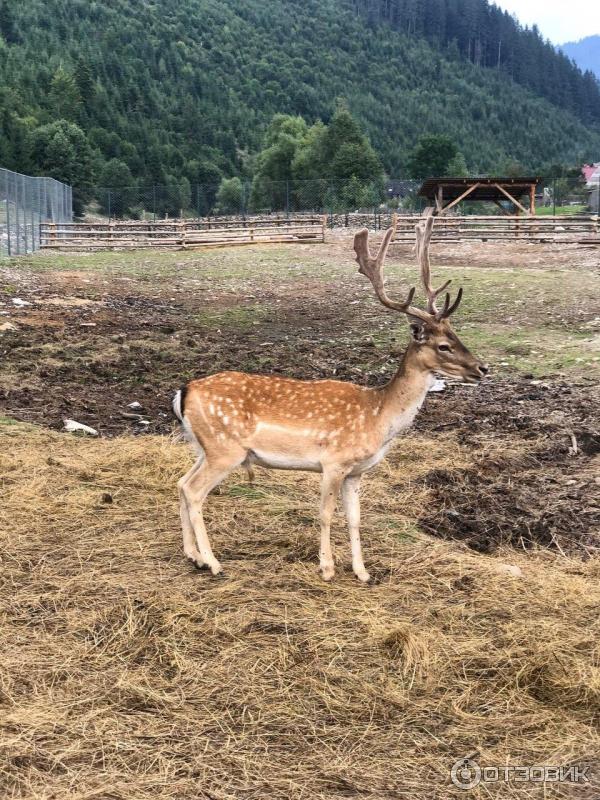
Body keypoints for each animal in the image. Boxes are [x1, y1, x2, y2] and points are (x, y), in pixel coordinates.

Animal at [173, 217, 488, 580]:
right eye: (443, 346)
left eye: (457, 335)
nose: (482, 368)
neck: (378, 416)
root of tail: (184, 391)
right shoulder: (333, 462)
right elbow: (325, 513)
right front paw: (326, 568)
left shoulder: (356, 472)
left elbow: (355, 518)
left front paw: (362, 572)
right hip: (225, 449)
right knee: (194, 491)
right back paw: (212, 562)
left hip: (204, 447)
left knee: (181, 483)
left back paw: (192, 555)